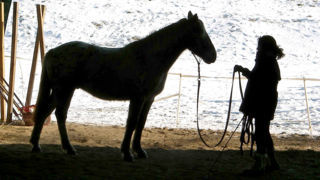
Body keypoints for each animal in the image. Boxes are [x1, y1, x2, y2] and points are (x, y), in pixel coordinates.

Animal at [30, 11, 216, 162]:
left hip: (60, 91)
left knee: (45, 112)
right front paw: (127, 153)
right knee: (60, 115)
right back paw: (68, 148)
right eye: (199, 32)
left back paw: (36, 145)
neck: (149, 57)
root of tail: (52, 51)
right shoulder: (138, 98)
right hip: (64, 90)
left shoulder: (149, 99)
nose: (213, 56)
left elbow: (141, 123)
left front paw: (139, 151)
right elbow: (132, 123)